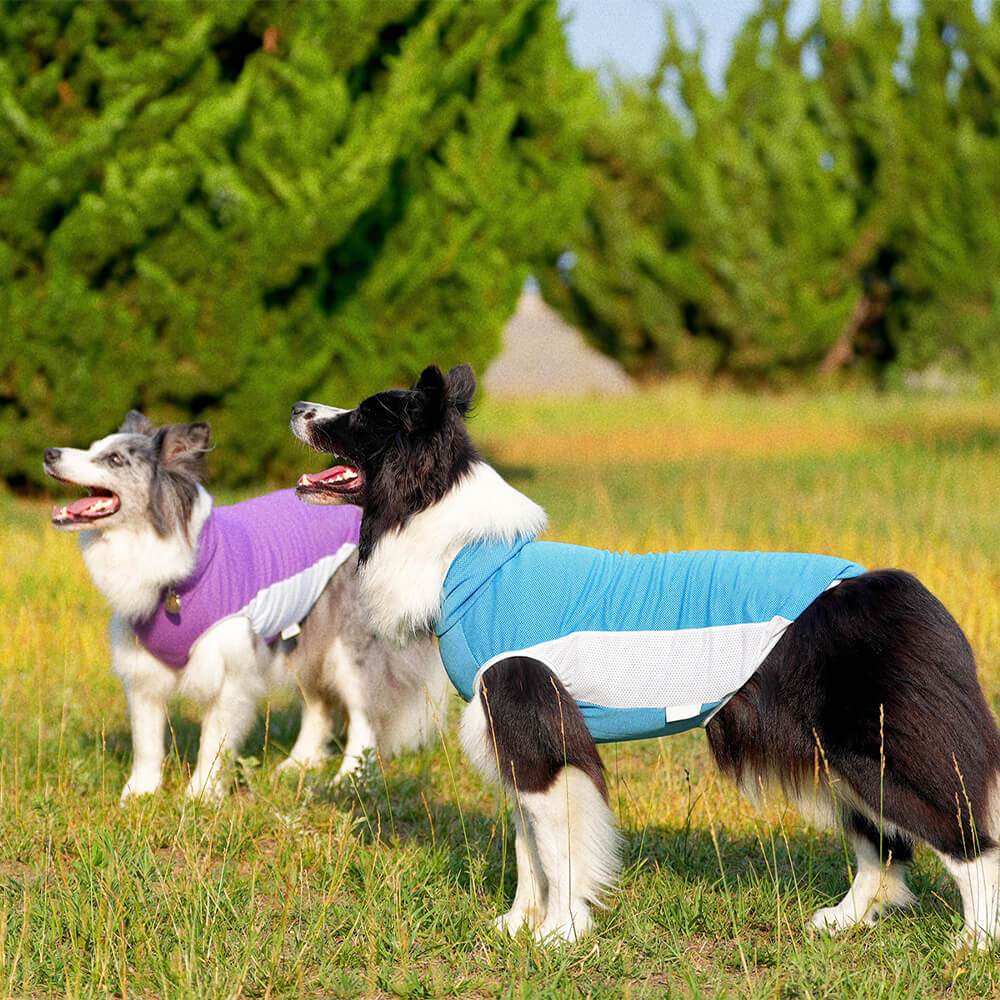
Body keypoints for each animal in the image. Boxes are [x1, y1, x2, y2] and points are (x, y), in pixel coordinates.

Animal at [47, 410, 446, 800]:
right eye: (93, 447)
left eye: (115, 459)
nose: (50, 453)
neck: (182, 574)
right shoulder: (143, 668)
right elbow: (146, 742)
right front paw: (139, 793)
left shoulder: (230, 669)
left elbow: (213, 740)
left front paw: (200, 794)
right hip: (305, 638)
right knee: (317, 704)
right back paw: (298, 764)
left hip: (351, 644)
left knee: (363, 712)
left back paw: (348, 778)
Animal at [292, 366, 1000, 944]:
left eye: (363, 414)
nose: (298, 405)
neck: (465, 555)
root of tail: (901, 589)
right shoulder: (515, 733)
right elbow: (527, 846)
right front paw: (518, 927)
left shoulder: (535, 721)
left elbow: (558, 846)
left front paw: (560, 935)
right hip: (833, 757)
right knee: (882, 845)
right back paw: (844, 920)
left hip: (877, 750)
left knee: (963, 836)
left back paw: (975, 942)